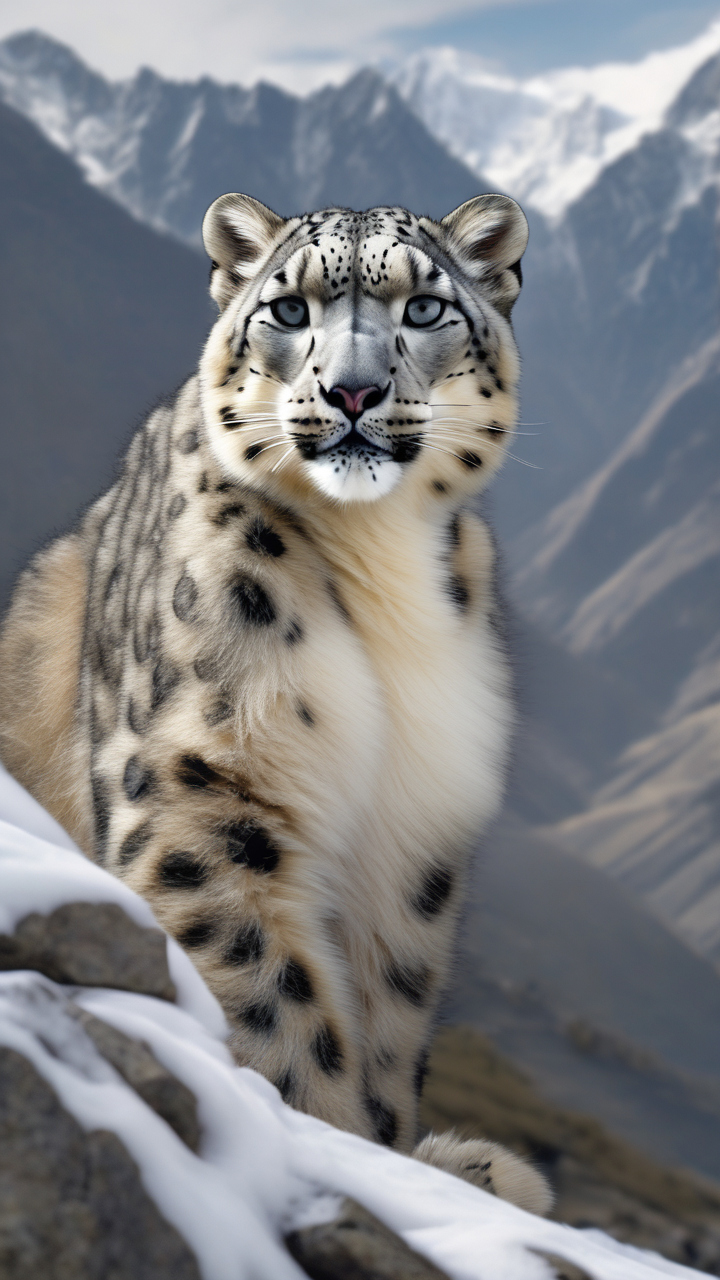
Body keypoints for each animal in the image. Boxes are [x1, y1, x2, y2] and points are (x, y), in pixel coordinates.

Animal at [0, 191, 551, 1214]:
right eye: (289, 309)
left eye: (424, 307)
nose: (352, 394)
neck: (382, 574)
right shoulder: (198, 784)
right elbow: (271, 1000)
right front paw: (333, 1139)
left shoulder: (411, 834)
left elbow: (383, 1019)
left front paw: (404, 1155)